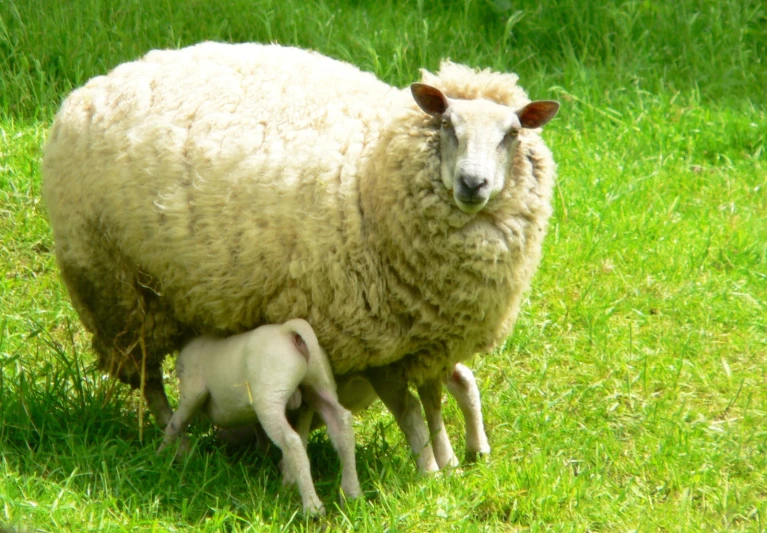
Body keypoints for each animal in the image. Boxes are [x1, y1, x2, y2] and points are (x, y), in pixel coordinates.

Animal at [40, 41, 560, 474]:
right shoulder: (377, 344)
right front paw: (432, 473)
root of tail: (90, 88)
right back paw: (177, 443)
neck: (372, 175)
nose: (473, 184)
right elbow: (413, 412)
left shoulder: (428, 340)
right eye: (448, 125)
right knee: (147, 374)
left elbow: (434, 399)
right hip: (117, 287)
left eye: (513, 133)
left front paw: (453, 461)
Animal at [158, 318, 362, 512]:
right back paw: (352, 493)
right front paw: (261, 455)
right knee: (341, 424)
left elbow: (175, 423)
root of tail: (288, 331)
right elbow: (259, 432)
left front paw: (162, 455)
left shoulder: (192, 391)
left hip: (270, 395)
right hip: (318, 384)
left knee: (292, 441)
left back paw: (313, 507)